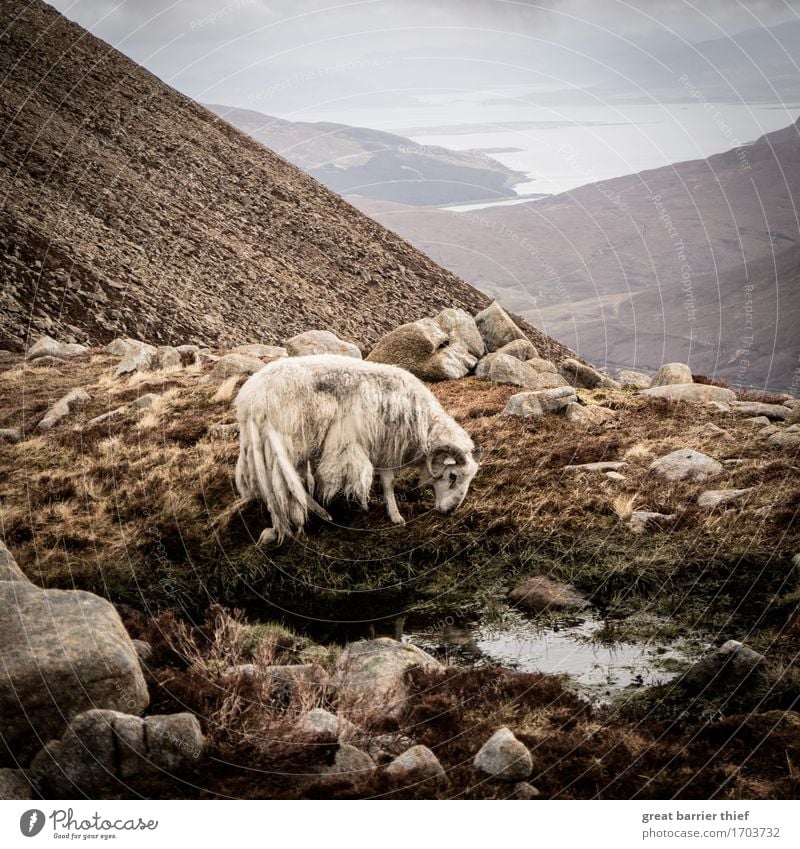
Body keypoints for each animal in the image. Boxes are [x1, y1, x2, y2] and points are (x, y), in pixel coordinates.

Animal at [231, 352, 482, 544]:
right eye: (452, 476)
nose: (450, 511)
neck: (423, 423)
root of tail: (250, 397)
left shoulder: (384, 446)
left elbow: (386, 482)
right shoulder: (385, 445)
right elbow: (388, 483)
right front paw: (395, 516)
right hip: (286, 442)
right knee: (284, 487)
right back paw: (308, 518)